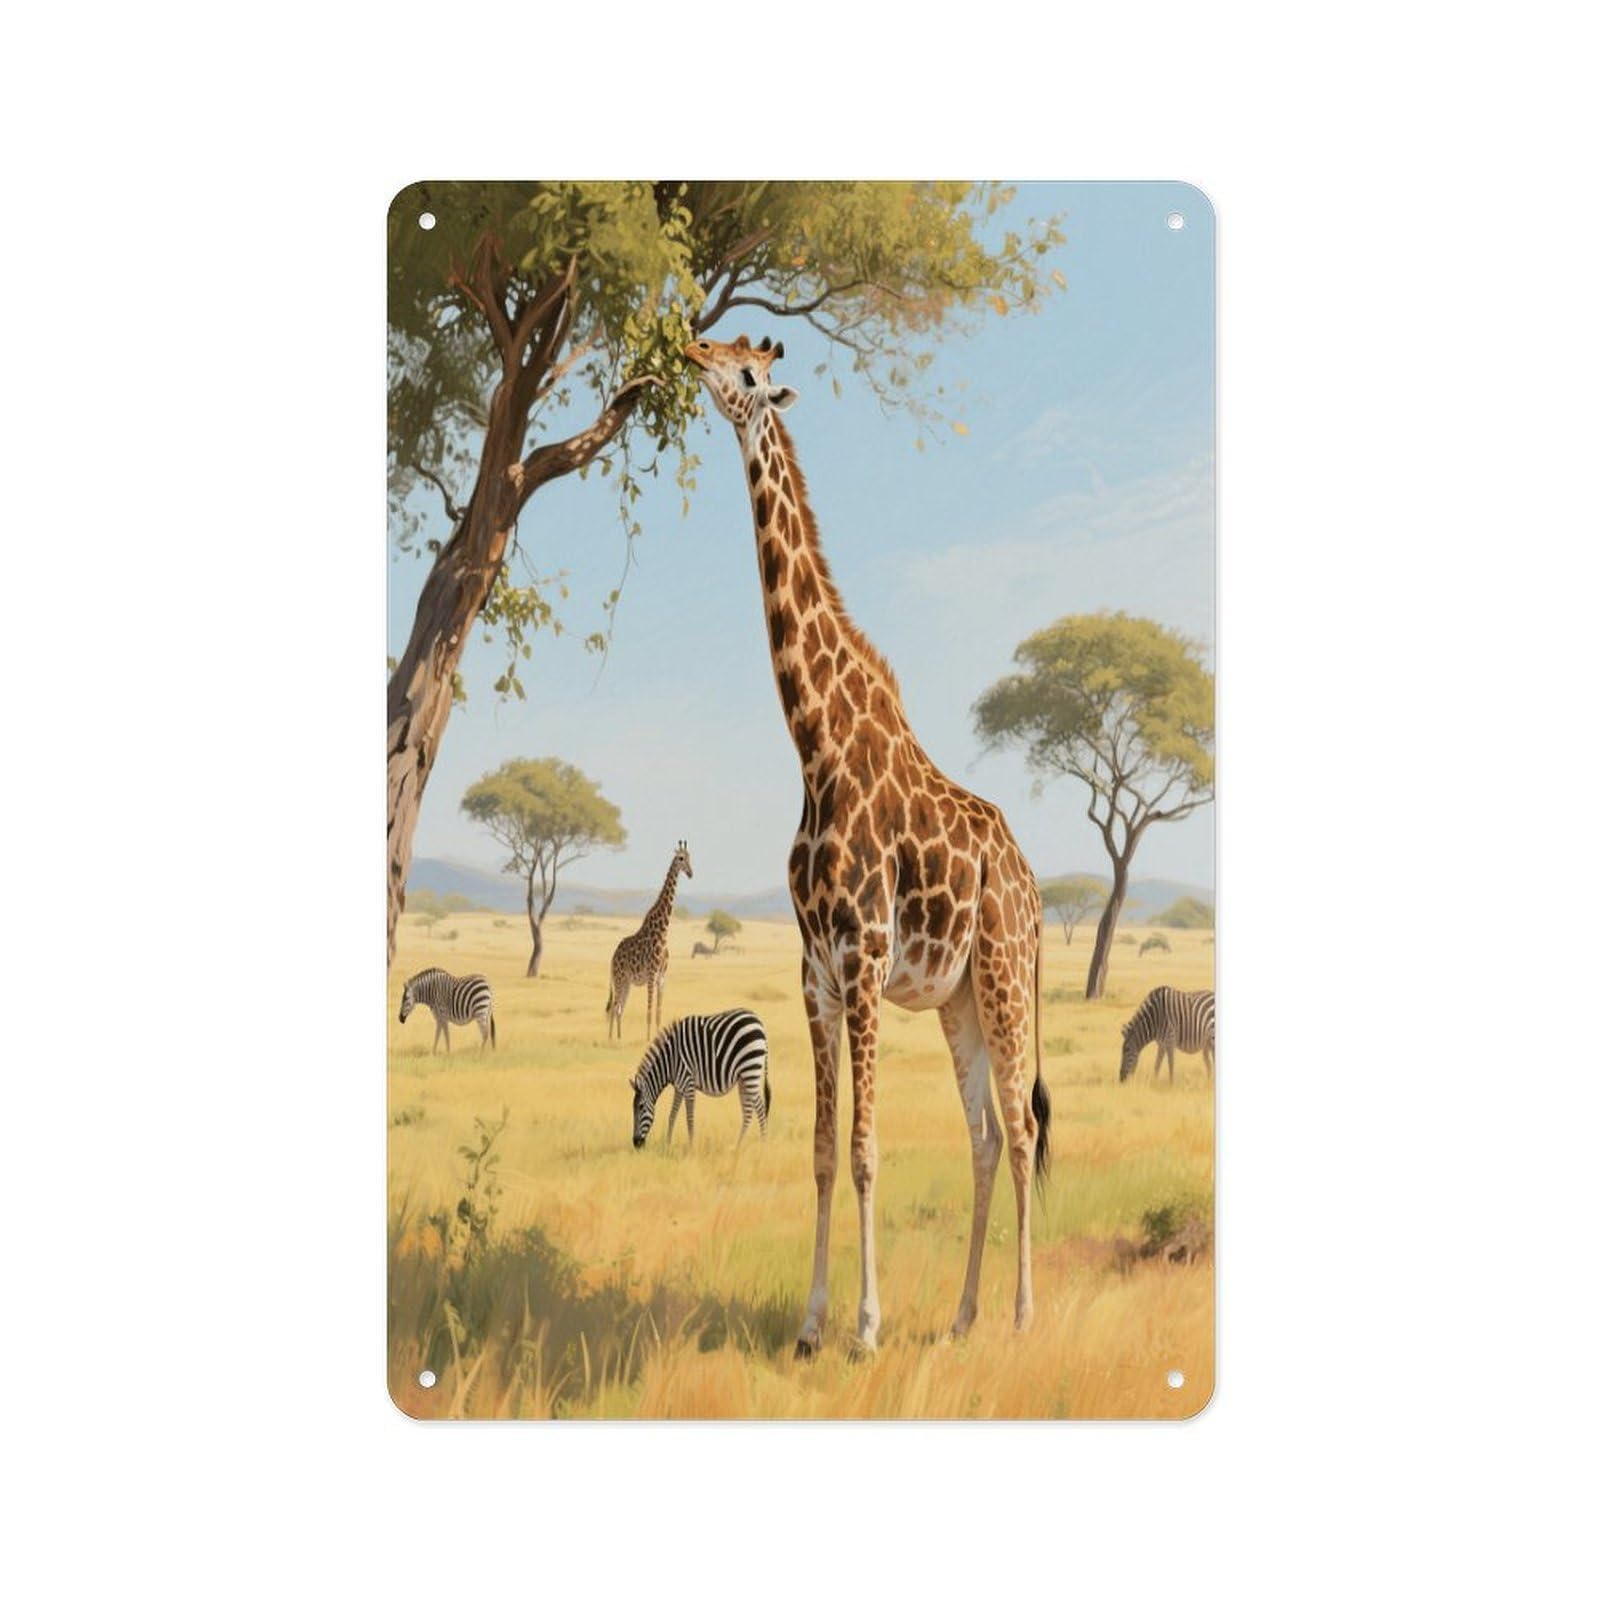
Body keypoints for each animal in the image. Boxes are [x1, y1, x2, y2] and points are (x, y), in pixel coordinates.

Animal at [606, 840, 693, 1040]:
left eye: (690, 857)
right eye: (680, 858)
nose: (691, 873)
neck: (663, 931)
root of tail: (612, 958)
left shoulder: (662, 977)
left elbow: (659, 1012)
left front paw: (659, 1037)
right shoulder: (652, 975)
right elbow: (650, 1010)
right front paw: (647, 1039)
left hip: (627, 981)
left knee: (619, 1009)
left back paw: (618, 1039)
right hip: (620, 979)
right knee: (614, 1007)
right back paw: (611, 1039)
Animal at [685, 334, 1052, 1357]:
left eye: (748, 372)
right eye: (722, 349)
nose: (691, 347)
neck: (815, 744)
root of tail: (1036, 890)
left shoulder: (864, 957)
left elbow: (864, 1151)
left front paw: (866, 1327)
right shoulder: (814, 971)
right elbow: (816, 1150)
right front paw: (811, 1325)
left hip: (1003, 979)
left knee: (1022, 1129)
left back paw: (1020, 1315)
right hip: (959, 1001)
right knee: (986, 1137)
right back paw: (963, 1317)